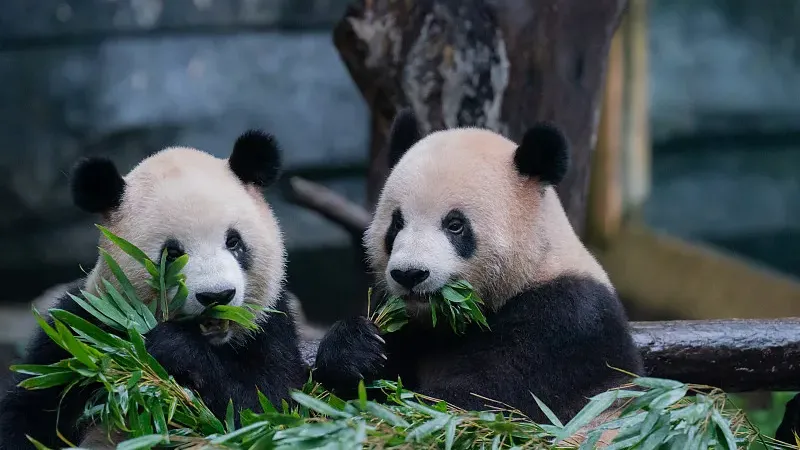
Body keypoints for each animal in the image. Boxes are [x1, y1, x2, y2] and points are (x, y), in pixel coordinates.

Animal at [0, 131, 307, 449]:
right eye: (172, 253)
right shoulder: (81, 328)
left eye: (233, 241)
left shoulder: (269, 326)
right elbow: (30, 410)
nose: (217, 295)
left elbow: (266, 409)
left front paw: (173, 348)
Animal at [314, 108, 644, 427]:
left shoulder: (565, 324)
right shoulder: (408, 323)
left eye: (455, 225)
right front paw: (357, 348)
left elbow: (480, 397)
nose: (410, 274)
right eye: (397, 223)